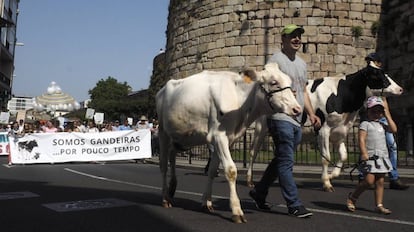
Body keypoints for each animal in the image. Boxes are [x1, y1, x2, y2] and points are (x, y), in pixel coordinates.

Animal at [155, 62, 300, 222]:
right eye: (273, 82)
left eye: (289, 80)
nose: (297, 109)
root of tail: (163, 89)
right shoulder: (219, 136)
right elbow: (231, 170)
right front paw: (237, 210)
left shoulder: (226, 139)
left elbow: (212, 171)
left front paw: (206, 202)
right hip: (163, 132)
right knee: (163, 165)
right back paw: (165, 198)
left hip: (179, 138)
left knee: (172, 157)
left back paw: (172, 188)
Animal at [247, 62, 402, 191]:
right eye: (376, 75)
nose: (400, 89)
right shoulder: (323, 130)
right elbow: (326, 157)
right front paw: (326, 182)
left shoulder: (340, 131)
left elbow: (343, 155)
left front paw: (333, 175)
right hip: (260, 128)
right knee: (253, 152)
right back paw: (250, 181)